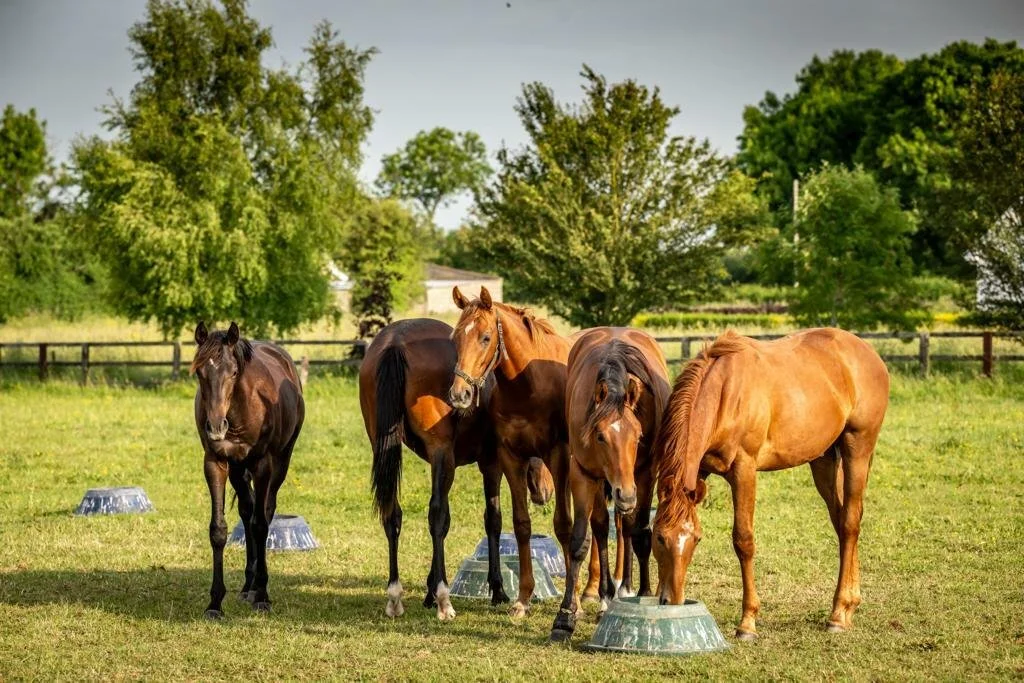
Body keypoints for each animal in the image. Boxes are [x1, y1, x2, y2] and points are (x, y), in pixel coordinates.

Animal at [191, 321, 305, 618]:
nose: (215, 427)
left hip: (280, 462)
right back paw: (247, 586)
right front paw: (215, 603)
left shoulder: (263, 464)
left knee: (264, 511)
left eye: (233, 372)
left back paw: (256, 589)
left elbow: (261, 524)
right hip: (238, 470)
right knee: (247, 509)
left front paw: (263, 596)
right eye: (199, 372)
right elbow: (218, 530)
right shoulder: (215, 462)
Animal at [358, 318, 554, 621]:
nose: (546, 492)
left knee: (394, 514)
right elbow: (491, 519)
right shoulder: (490, 464)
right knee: (437, 515)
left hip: (385, 448)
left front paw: (428, 591)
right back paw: (443, 598)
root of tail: (395, 341)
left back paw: (395, 595)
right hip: (444, 454)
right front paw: (497, 589)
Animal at [549, 327, 671, 643]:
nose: (625, 495)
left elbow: (640, 533)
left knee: (627, 529)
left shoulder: (644, 474)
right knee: (603, 528)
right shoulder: (582, 474)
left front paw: (643, 594)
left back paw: (625, 590)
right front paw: (565, 617)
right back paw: (606, 596)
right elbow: (580, 541)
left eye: (638, 436)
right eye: (600, 436)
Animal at [651, 328, 890, 640]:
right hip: (824, 461)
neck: (725, 392)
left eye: (697, 539)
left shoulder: (744, 470)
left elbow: (743, 541)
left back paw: (838, 614)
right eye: (658, 537)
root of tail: (869, 353)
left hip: (857, 448)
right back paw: (850, 605)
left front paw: (747, 622)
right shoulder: (698, 472)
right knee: (843, 521)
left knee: (850, 523)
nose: (673, 600)